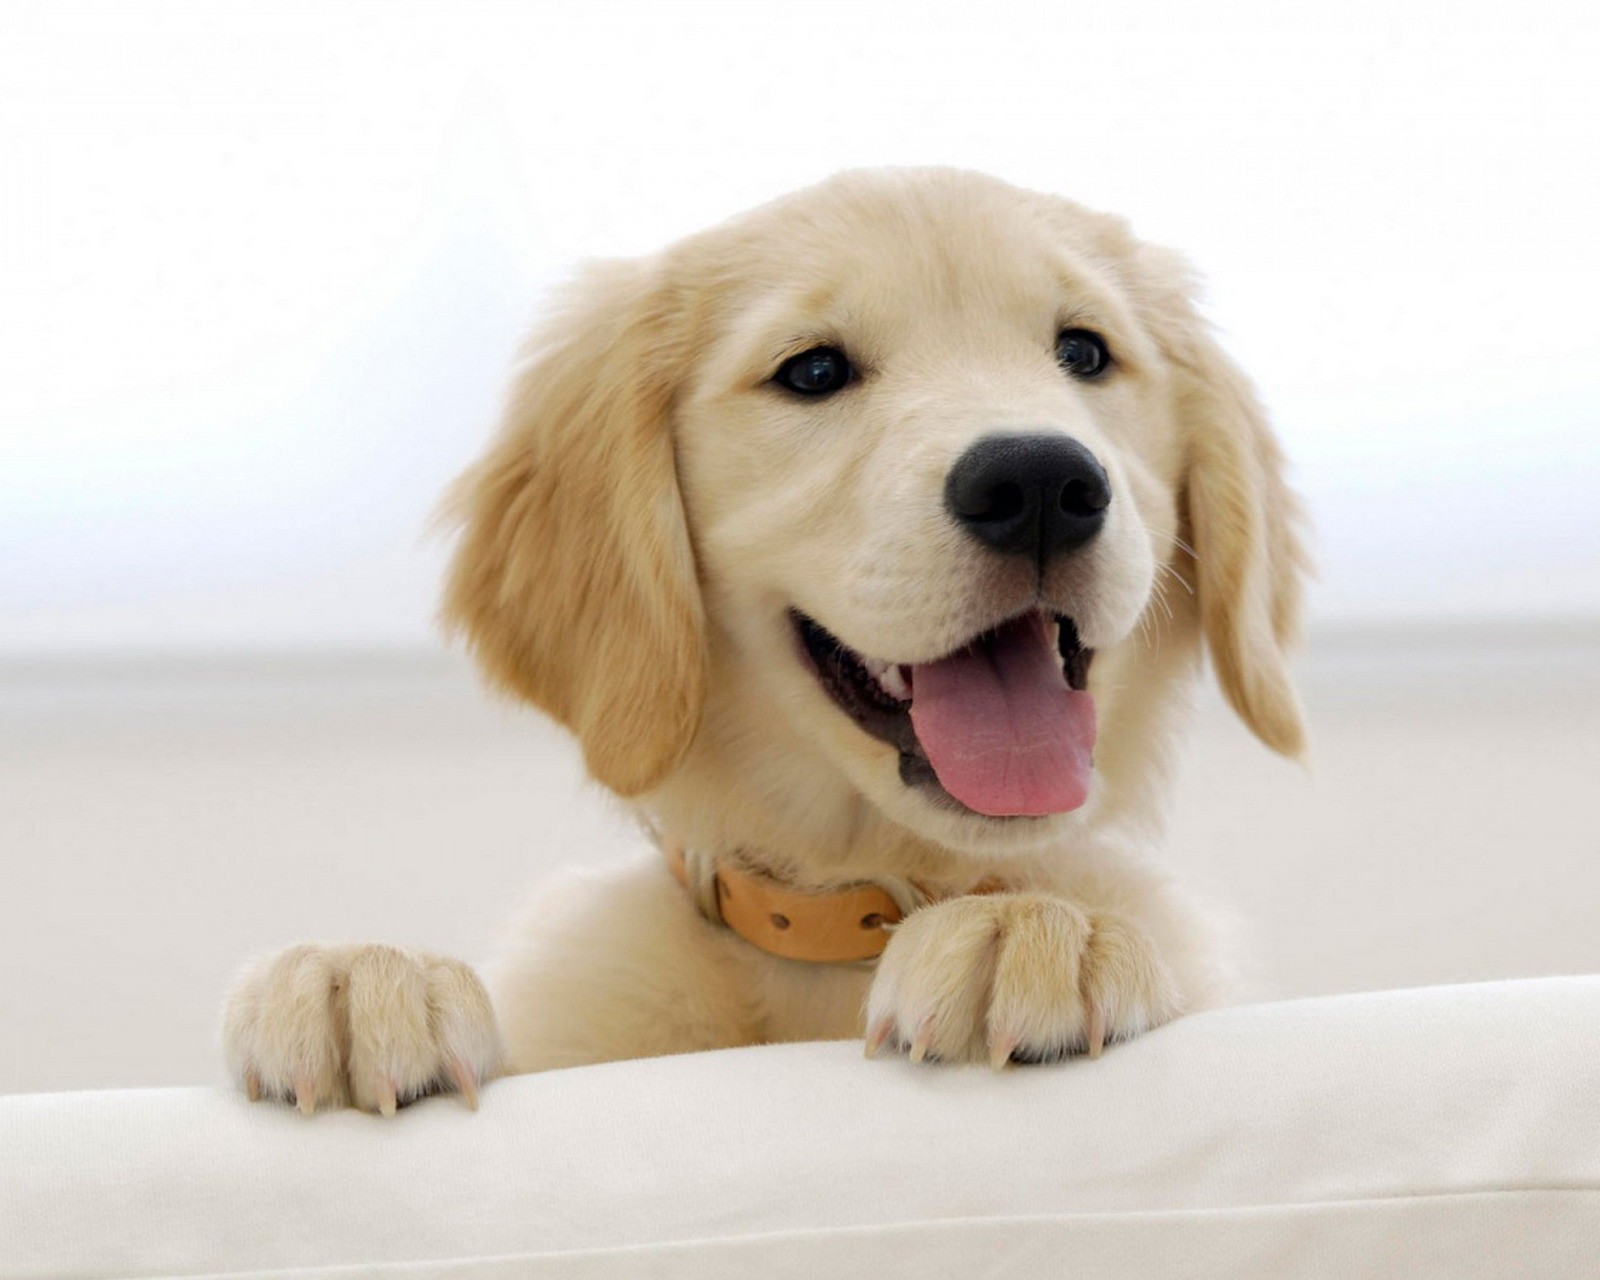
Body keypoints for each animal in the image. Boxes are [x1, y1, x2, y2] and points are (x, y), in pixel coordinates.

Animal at [222, 167, 1299, 1107]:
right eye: (812, 371)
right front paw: (361, 976)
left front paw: (1035, 927)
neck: (838, 927)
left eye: (1083, 353)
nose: (1038, 482)